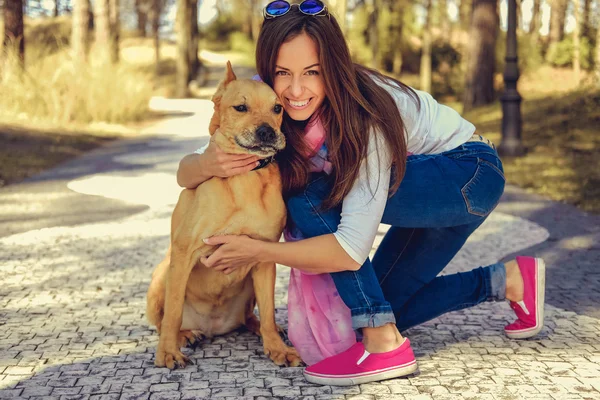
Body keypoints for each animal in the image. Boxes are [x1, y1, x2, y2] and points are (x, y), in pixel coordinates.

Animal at [148, 61, 302, 368]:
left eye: (277, 108)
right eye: (240, 107)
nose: (268, 132)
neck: (246, 178)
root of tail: (214, 327)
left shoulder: (264, 257)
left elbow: (269, 312)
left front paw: (277, 348)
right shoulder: (184, 253)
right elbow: (172, 312)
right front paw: (167, 352)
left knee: (253, 316)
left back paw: (263, 329)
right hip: (163, 273)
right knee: (164, 320)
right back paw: (184, 335)